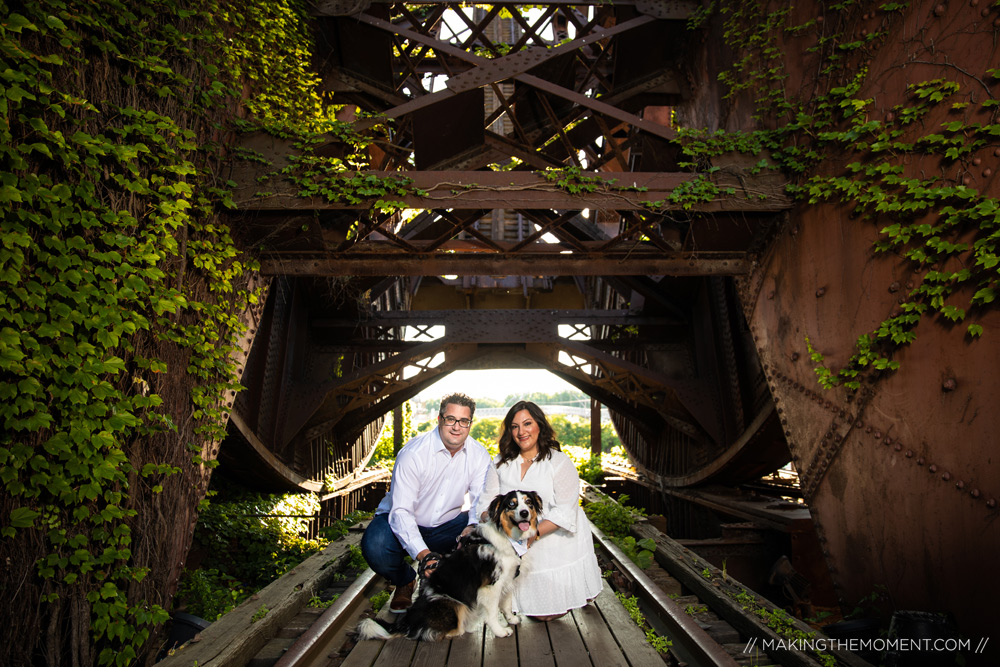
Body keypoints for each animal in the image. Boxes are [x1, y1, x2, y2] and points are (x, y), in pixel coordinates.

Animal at [360, 490, 544, 640]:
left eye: (529, 502)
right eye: (511, 504)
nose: (524, 513)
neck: (507, 536)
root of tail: (409, 620)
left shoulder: (508, 579)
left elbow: (506, 604)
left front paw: (511, 619)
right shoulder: (490, 587)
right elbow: (492, 612)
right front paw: (500, 631)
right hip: (455, 605)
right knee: (440, 631)